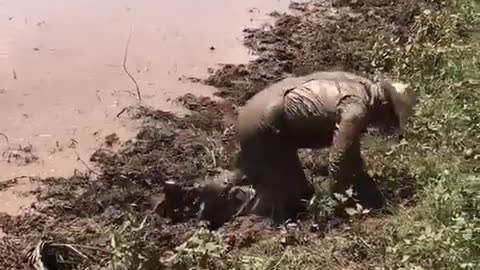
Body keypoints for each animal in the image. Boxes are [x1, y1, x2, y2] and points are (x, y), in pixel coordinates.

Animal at [236, 70, 416, 223]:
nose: (399, 133)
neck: (369, 90)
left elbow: (350, 154)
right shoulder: (355, 112)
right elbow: (340, 154)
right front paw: (342, 202)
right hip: (260, 132)